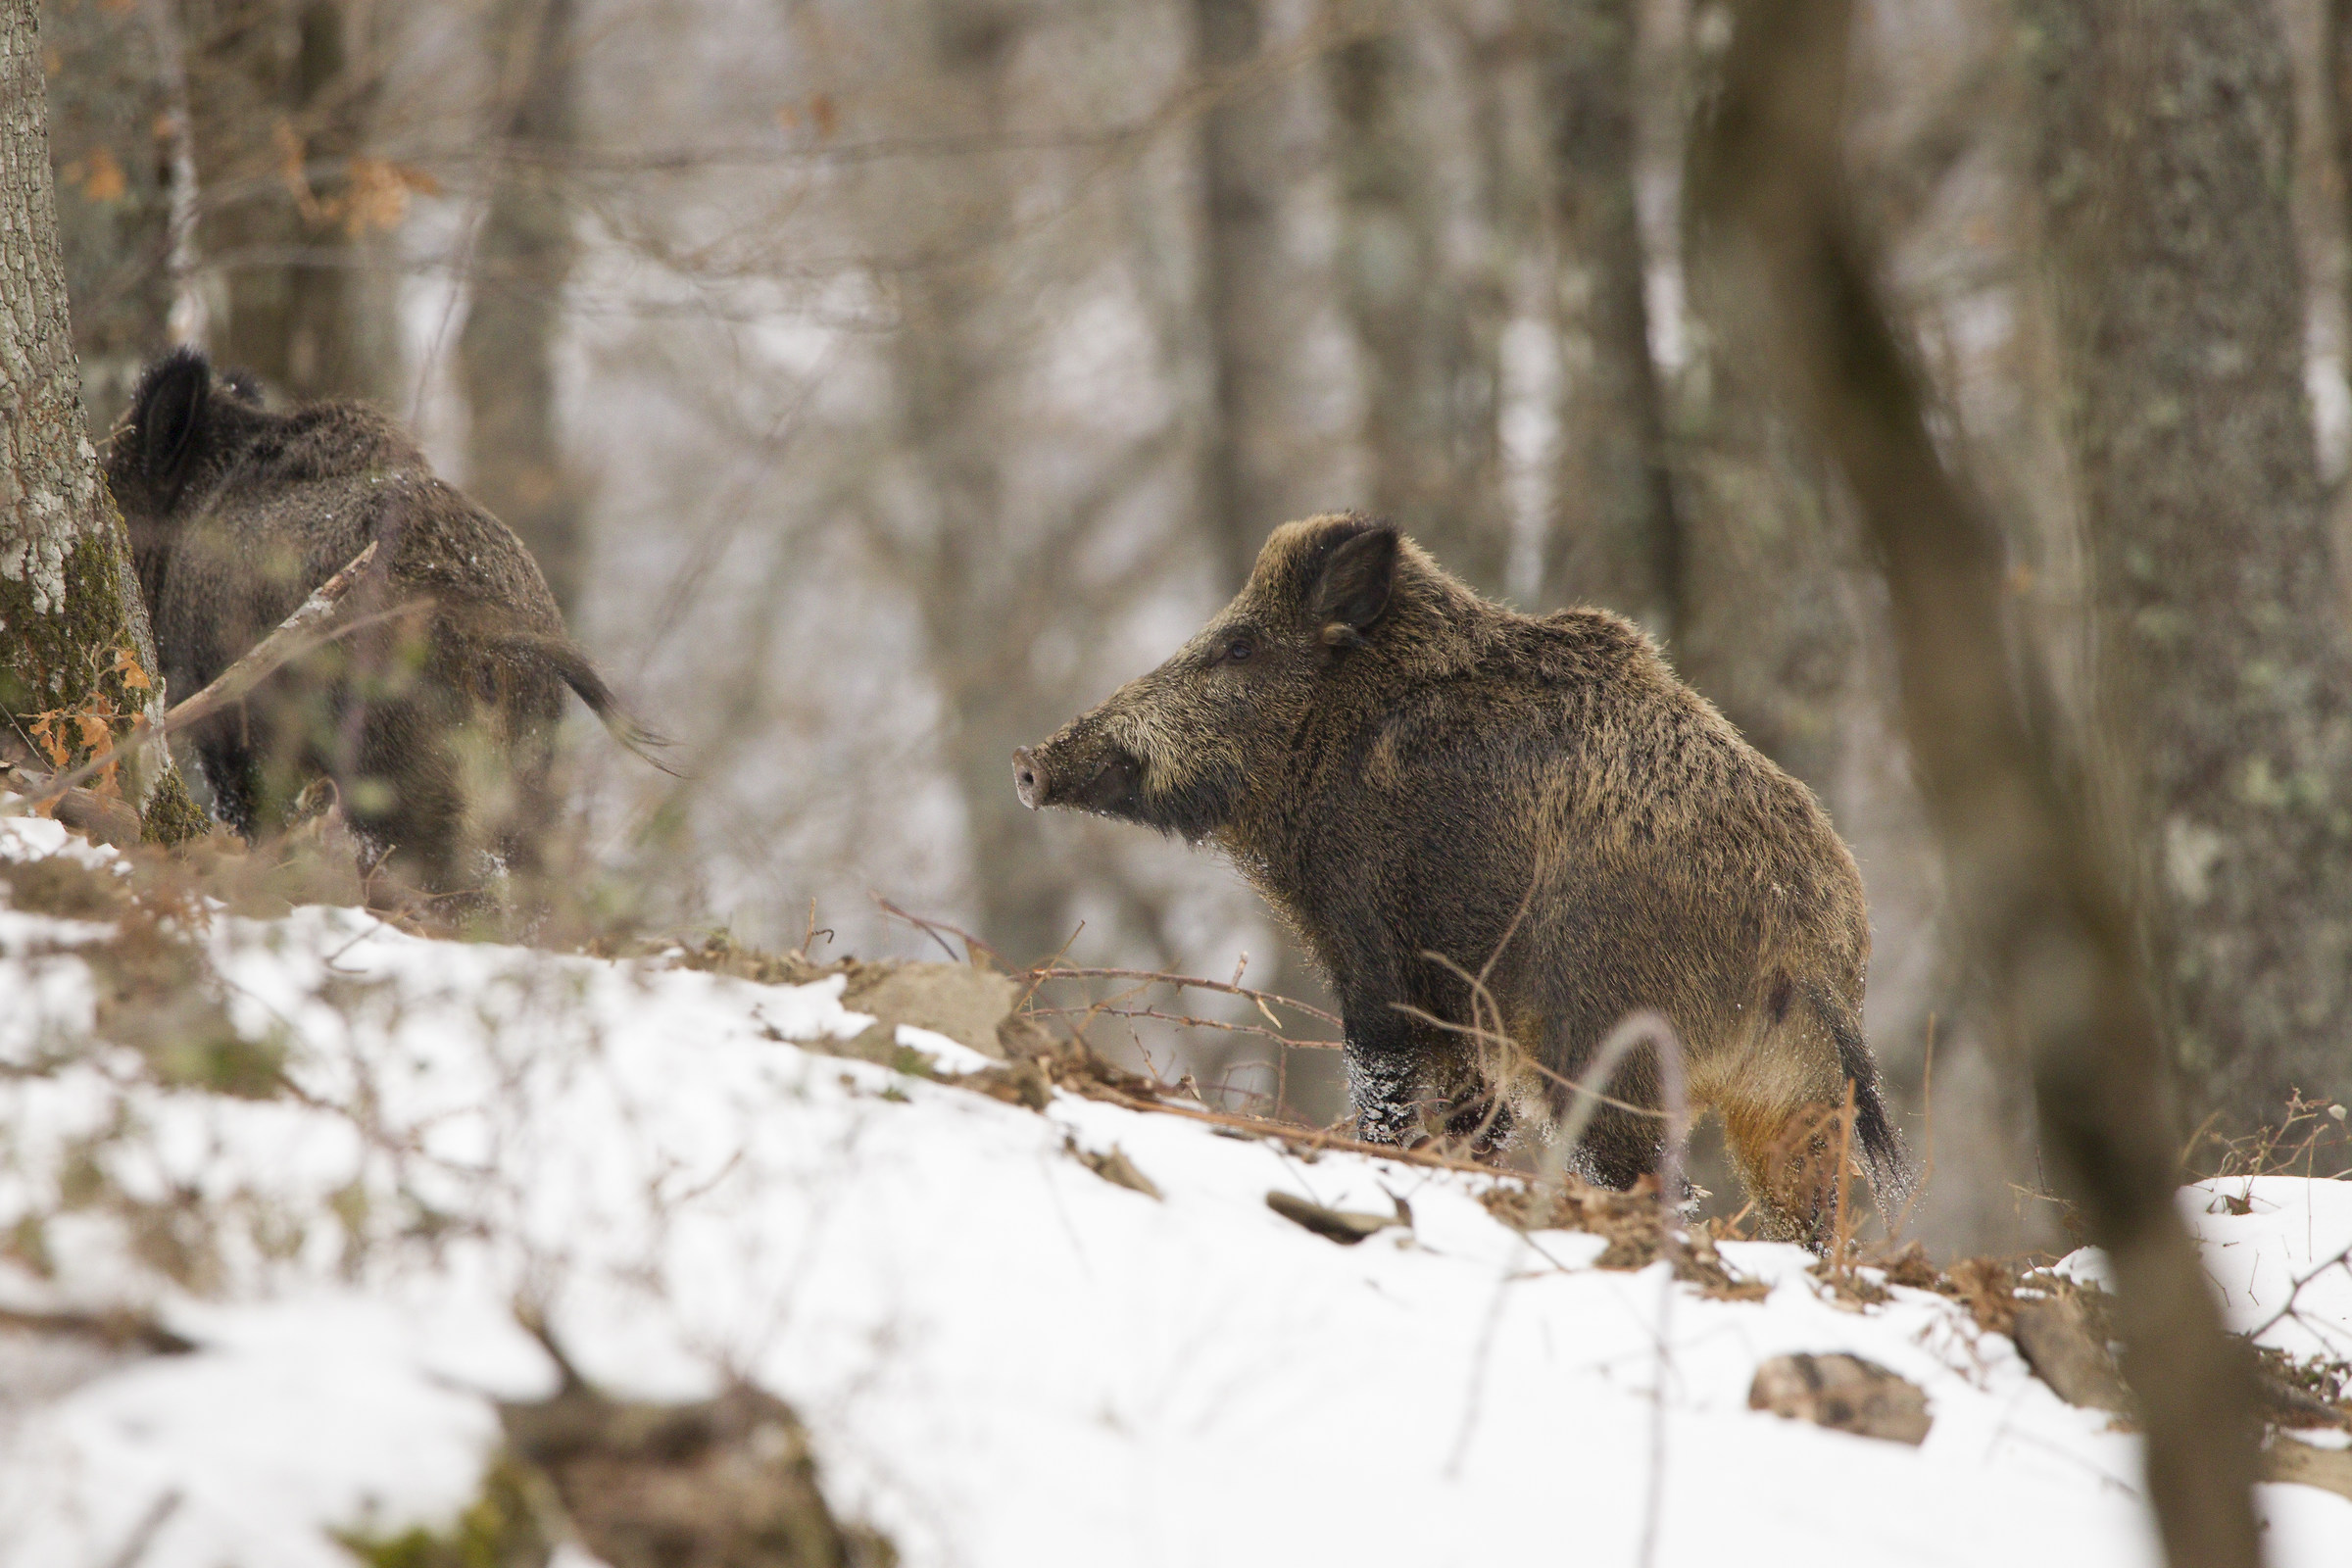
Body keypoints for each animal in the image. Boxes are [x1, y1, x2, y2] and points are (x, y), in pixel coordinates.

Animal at [1013, 513, 1904, 1241]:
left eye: (1238, 648)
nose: (1029, 764)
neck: (1333, 741)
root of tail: (1806, 939)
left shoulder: (1376, 949)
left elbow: (1384, 1084)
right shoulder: (1467, 1014)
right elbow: (1474, 1121)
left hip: (1609, 1043)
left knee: (1660, 1186)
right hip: (1793, 1103)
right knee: (1811, 1220)